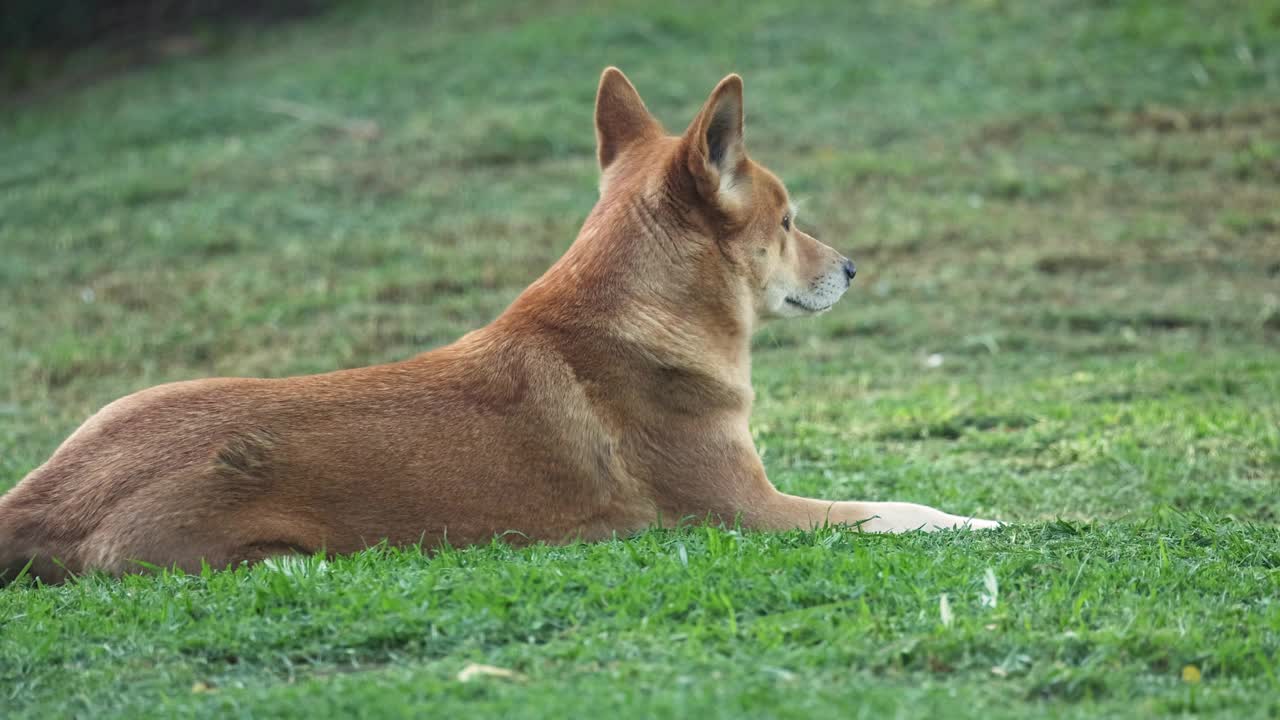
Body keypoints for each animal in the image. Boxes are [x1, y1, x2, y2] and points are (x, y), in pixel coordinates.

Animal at [0, 67, 998, 584]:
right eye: (789, 222)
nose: (852, 267)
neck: (633, 320)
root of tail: (40, 500)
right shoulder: (748, 514)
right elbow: (898, 509)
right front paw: (983, 518)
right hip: (280, 560)